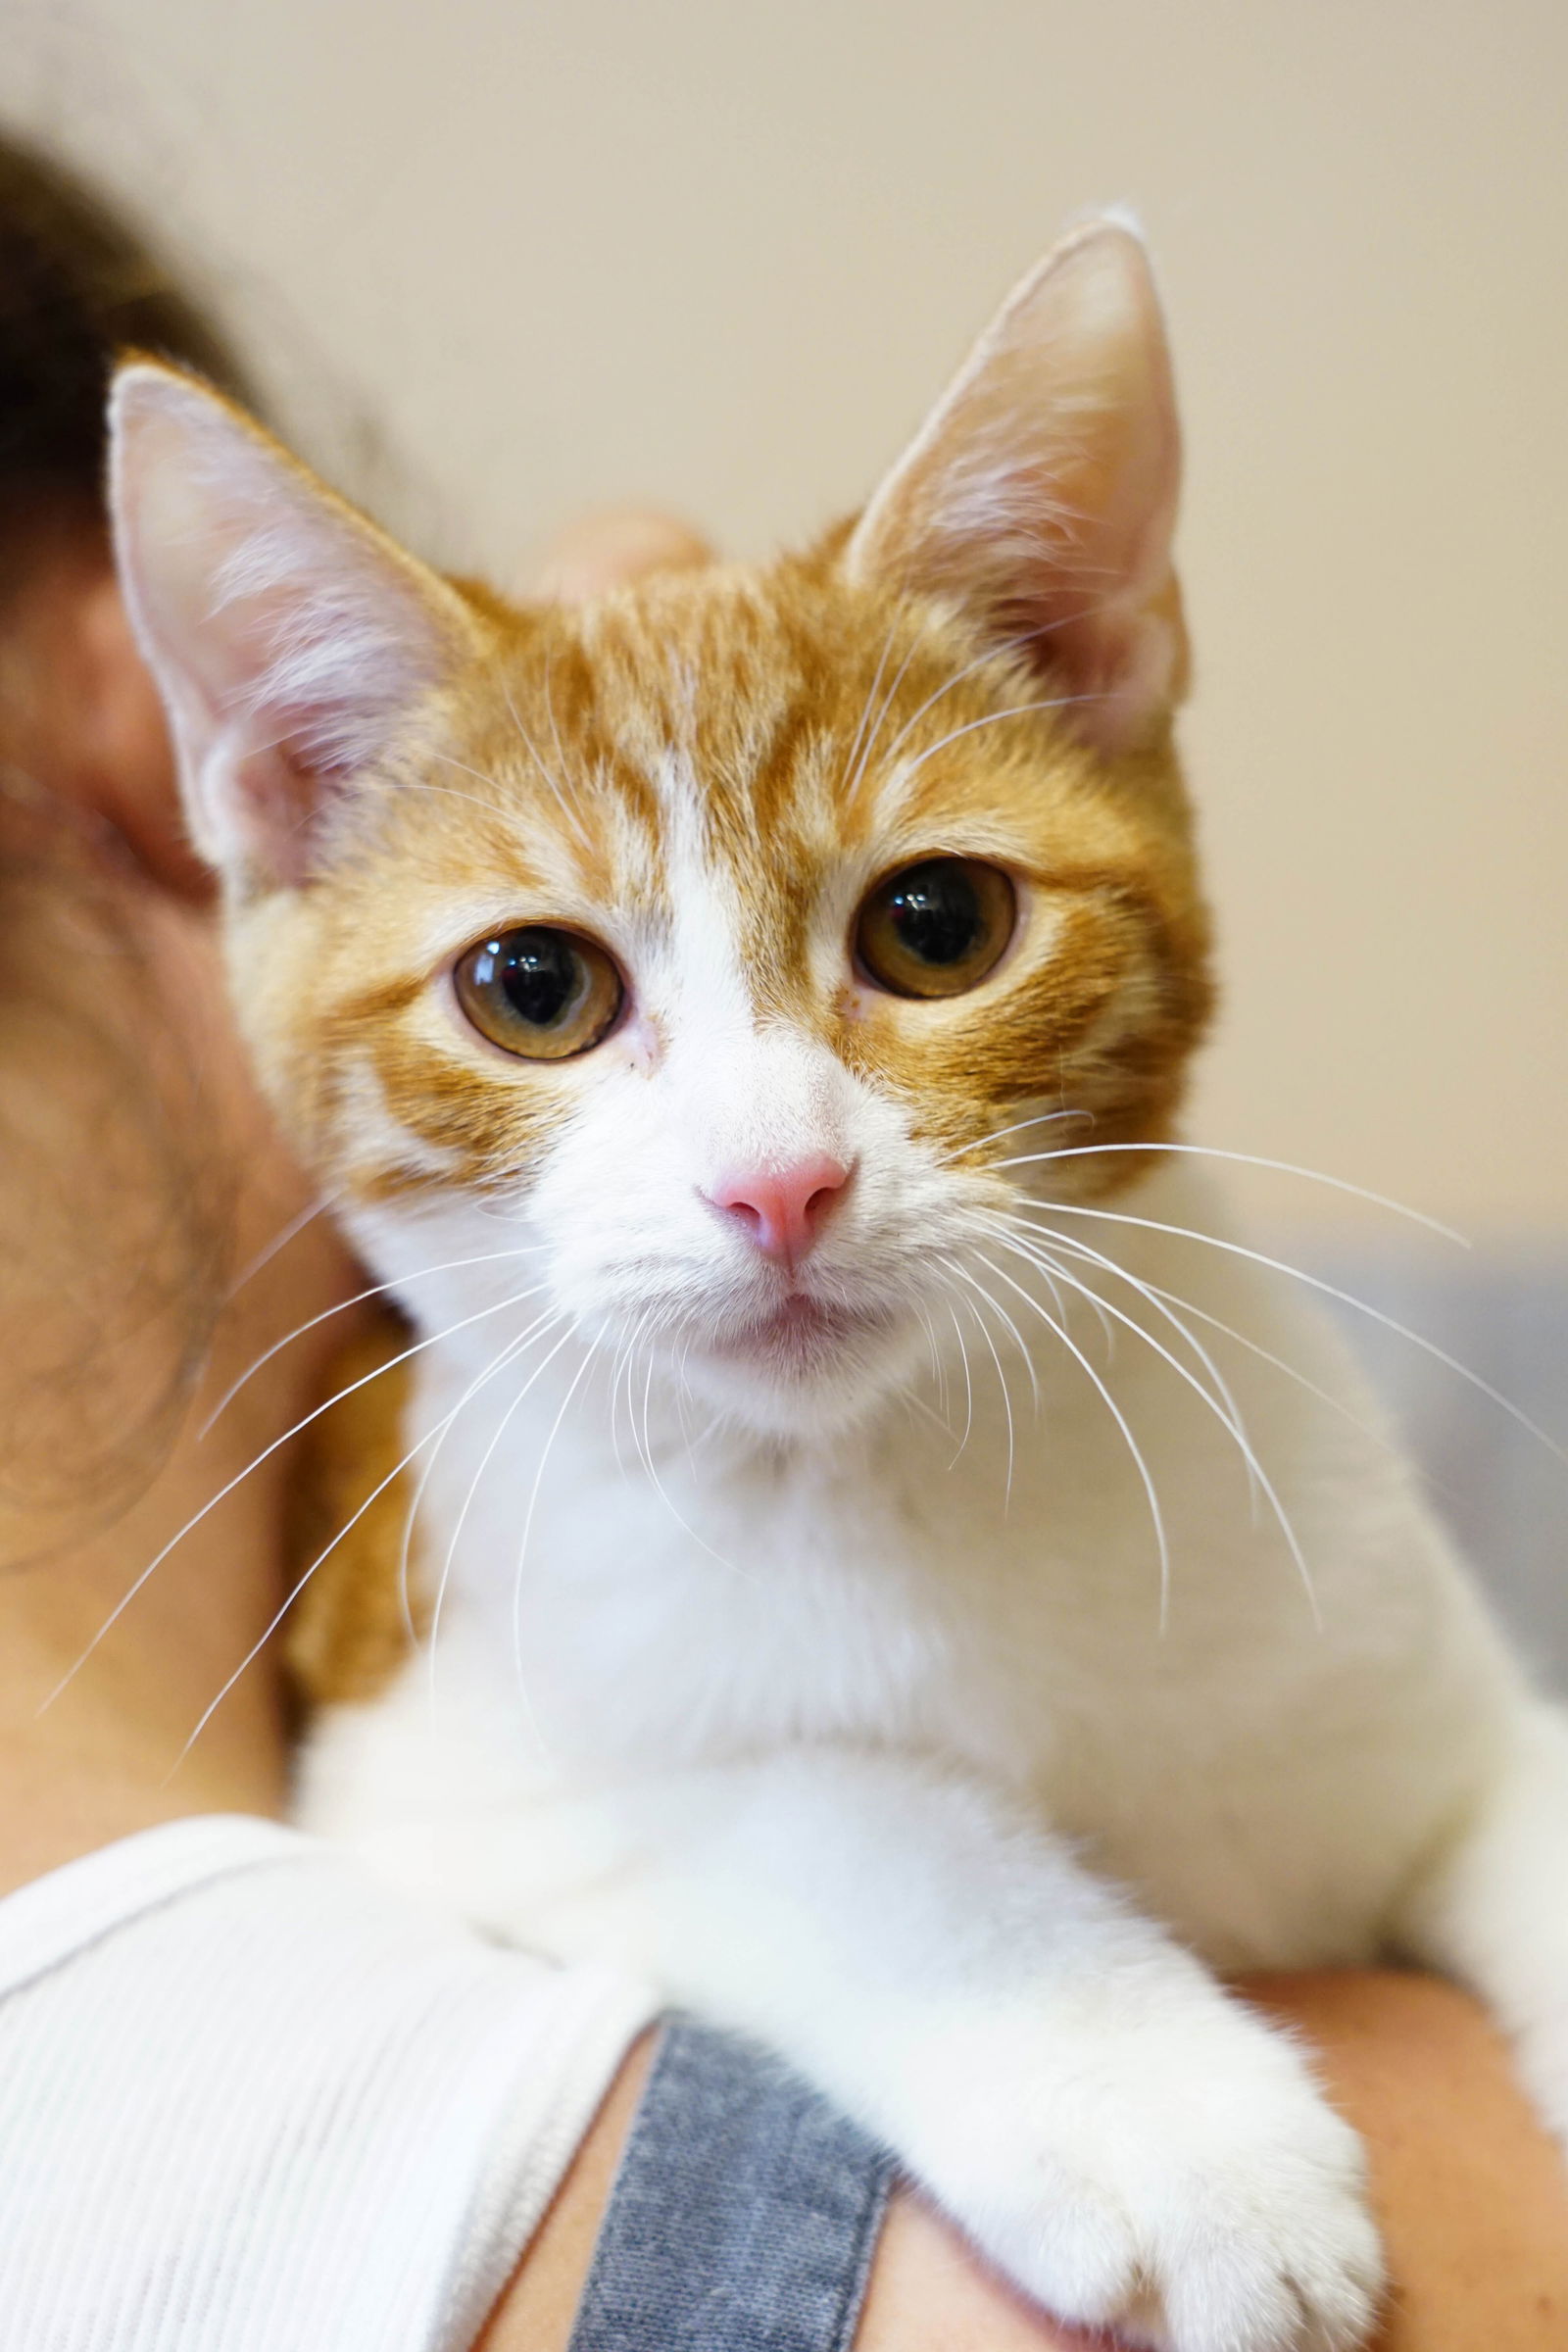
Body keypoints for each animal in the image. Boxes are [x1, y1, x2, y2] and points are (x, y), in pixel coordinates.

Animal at [110, 224, 1568, 2352]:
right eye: (531, 986)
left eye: (937, 925)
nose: (776, 1181)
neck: (894, 1479)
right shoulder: (412, 1759)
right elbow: (817, 1805)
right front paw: (1150, 2099)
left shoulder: (1420, 1703)